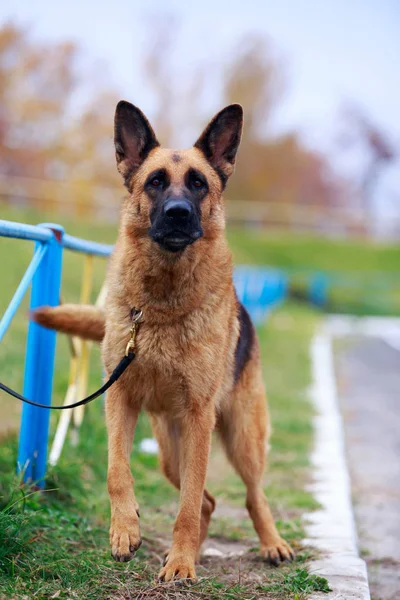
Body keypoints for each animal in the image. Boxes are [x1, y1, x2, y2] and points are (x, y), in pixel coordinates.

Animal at [34, 99, 296, 580]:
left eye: (198, 184)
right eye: (155, 182)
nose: (177, 212)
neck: (161, 306)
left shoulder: (198, 418)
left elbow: (187, 505)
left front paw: (180, 565)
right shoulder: (119, 400)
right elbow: (117, 472)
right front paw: (125, 531)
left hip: (238, 438)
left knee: (251, 494)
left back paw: (269, 544)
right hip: (170, 453)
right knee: (209, 501)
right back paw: (192, 549)